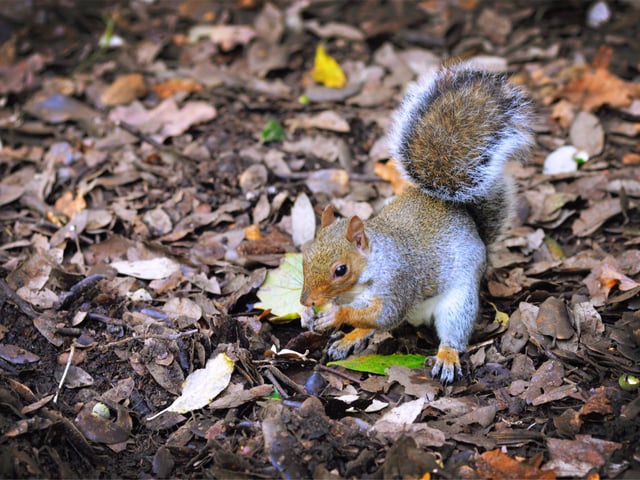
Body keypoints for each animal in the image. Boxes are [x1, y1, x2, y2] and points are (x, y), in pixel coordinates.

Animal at [299, 64, 533, 383]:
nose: (306, 301)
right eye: (305, 257)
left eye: (340, 270)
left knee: (452, 333)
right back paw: (352, 338)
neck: (374, 262)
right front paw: (313, 316)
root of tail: (470, 223)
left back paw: (447, 357)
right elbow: (371, 318)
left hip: (459, 302)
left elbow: (386, 315)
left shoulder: (399, 282)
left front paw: (336, 316)